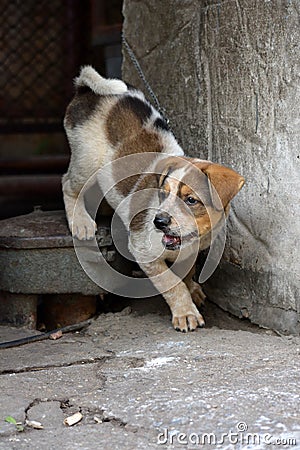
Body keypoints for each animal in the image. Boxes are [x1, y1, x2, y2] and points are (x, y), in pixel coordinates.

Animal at [62, 67, 244, 334]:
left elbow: (184, 276)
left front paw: (192, 290)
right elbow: (172, 284)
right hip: (86, 162)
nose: (159, 222)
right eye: (163, 193)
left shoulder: (189, 254)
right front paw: (186, 314)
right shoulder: (143, 251)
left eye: (191, 200)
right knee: (67, 184)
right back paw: (81, 222)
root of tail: (86, 91)